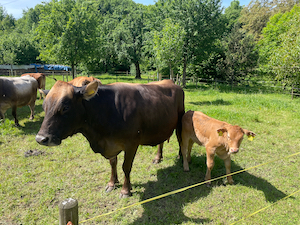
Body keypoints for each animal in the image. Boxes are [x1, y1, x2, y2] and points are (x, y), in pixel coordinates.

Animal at [36, 79, 184, 197]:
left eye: (65, 107)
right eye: (44, 106)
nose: (40, 138)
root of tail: (171, 82)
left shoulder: (131, 143)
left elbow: (126, 167)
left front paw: (125, 190)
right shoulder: (110, 145)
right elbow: (113, 163)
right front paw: (112, 183)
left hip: (180, 119)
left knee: (180, 139)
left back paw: (181, 158)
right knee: (161, 142)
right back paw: (158, 157)